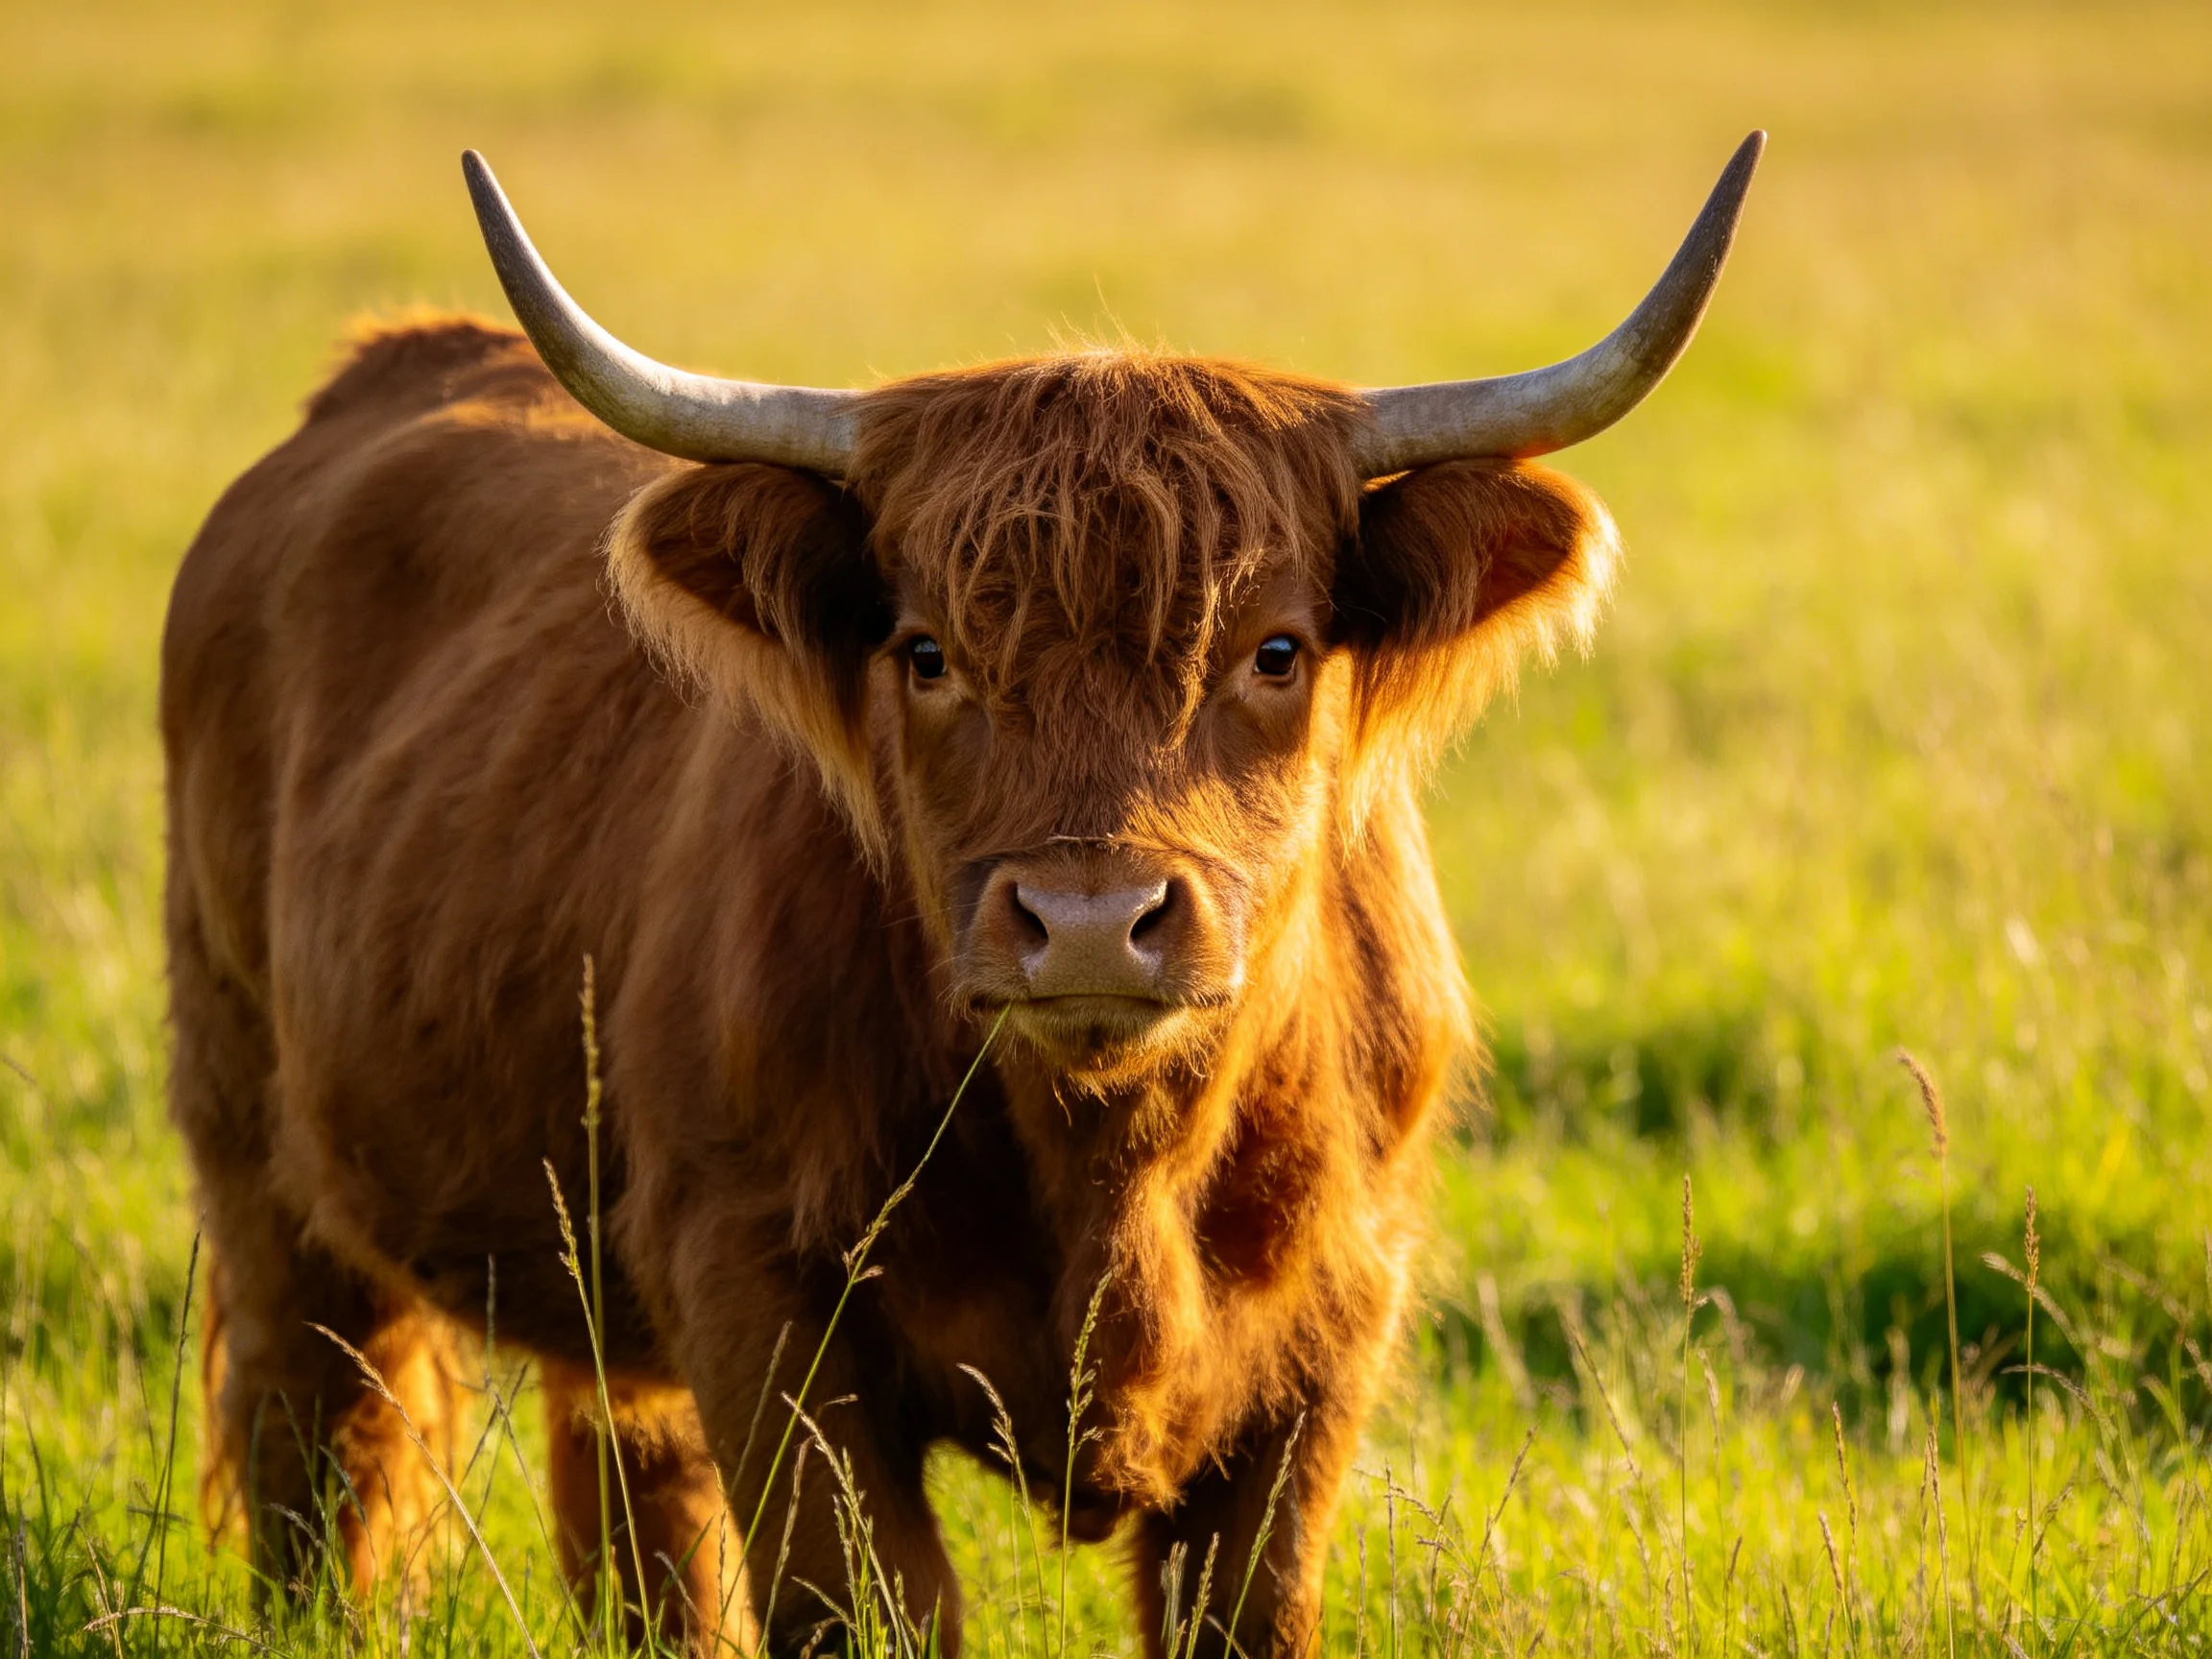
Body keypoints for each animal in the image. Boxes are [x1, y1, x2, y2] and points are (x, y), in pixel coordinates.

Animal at [160, 134, 1761, 1655]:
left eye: (1278, 650)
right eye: (927, 653)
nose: (1092, 923)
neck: (1111, 1170)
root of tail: (386, 369)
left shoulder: (1332, 1318)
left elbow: (1250, 1612)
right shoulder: (762, 1297)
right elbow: (866, 1605)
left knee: (630, 1494)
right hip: (257, 1147)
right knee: (320, 1448)